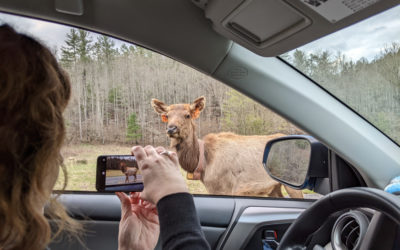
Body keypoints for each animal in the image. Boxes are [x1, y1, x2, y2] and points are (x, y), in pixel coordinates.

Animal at [152, 96, 304, 198]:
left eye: (187, 115)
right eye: (167, 116)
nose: (171, 128)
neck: (202, 163)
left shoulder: (225, 188)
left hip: (294, 181)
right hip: (274, 186)